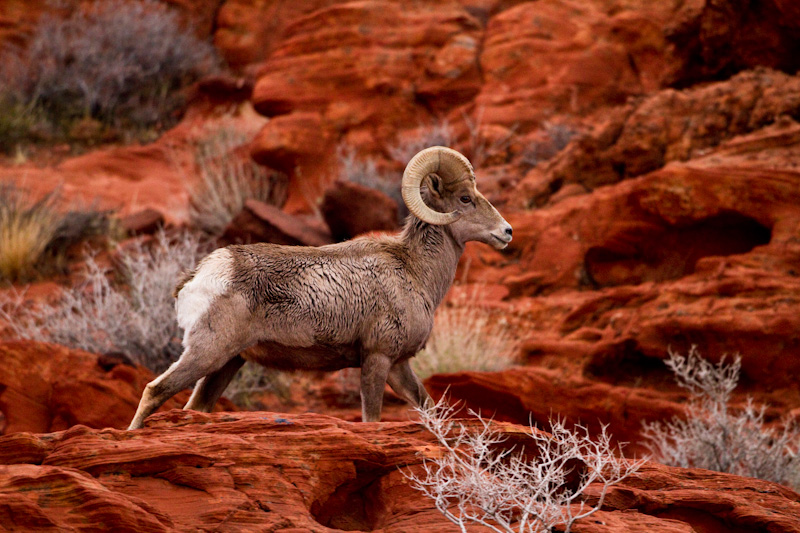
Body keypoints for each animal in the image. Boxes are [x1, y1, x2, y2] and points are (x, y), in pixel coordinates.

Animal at [125, 145, 512, 428]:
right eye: (465, 198)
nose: (506, 232)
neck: (415, 271)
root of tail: (200, 276)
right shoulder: (377, 358)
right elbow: (372, 420)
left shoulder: (398, 365)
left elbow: (428, 407)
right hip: (207, 352)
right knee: (155, 390)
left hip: (227, 363)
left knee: (195, 406)